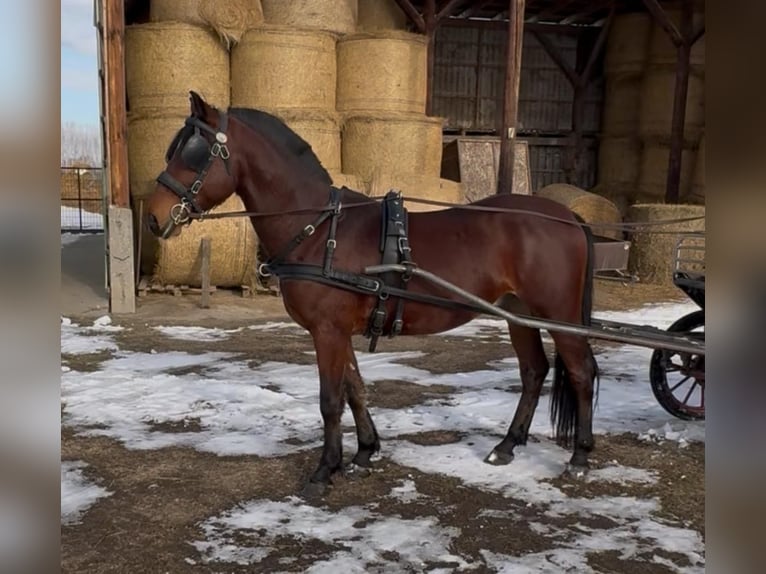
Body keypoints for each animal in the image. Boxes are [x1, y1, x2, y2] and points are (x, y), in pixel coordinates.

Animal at [145, 91, 600, 497]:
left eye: (193, 152)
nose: (152, 217)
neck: (319, 230)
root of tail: (569, 216)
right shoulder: (337, 331)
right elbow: (355, 389)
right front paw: (364, 453)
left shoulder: (327, 331)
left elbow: (331, 400)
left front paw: (323, 472)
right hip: (518, 313)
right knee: (534, 371)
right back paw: (506, 446)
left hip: (557, 314)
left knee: (580, 372)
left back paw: (579, 457)